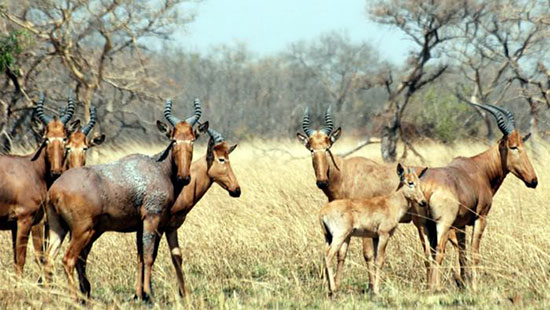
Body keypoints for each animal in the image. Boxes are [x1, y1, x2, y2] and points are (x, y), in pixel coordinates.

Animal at [43, 98, 203, 302]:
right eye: (174, 140)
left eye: (192, 140)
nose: (184, 177)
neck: (158, 167)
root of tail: (55, 189)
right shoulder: (151, 218)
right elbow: (149, 256)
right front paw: (148, 295)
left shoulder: (141, 225)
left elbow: (141, 257)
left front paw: (141, 295)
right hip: (82, 230)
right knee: (68, 259)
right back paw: (77, 299)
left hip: (58, 228)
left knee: (48, 258)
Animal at [320, 163, 432, 296]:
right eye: (410, 182)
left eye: (419, 182)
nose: (423, 202)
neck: (390, 203)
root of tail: (323, 212)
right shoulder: (384, 235)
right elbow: (380, 260)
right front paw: (377, 290)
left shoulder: (375, 237)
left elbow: (373, 260)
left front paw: (373, 289)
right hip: (339, 236)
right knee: (328, 255)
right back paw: (332, 289)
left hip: (329, 237)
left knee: (325, 255)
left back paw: (327, 289)